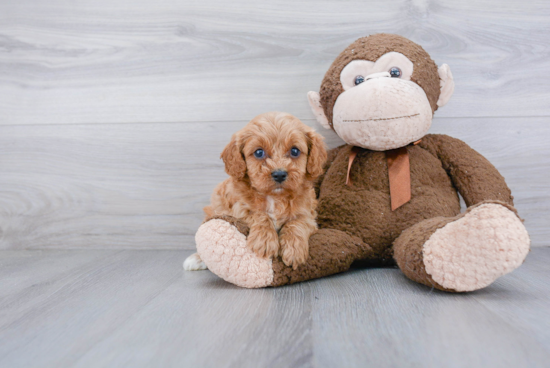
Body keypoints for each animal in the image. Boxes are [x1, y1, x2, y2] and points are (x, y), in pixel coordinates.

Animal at [187, 112, 328, 270]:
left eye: (294, 151)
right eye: (259, 152)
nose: (279, 174)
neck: (275, 198)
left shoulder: (308, 214)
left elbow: (298, 222)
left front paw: (294, 249)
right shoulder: (238, 208)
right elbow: (258, 214)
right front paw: (265, 241)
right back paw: (196, 259)